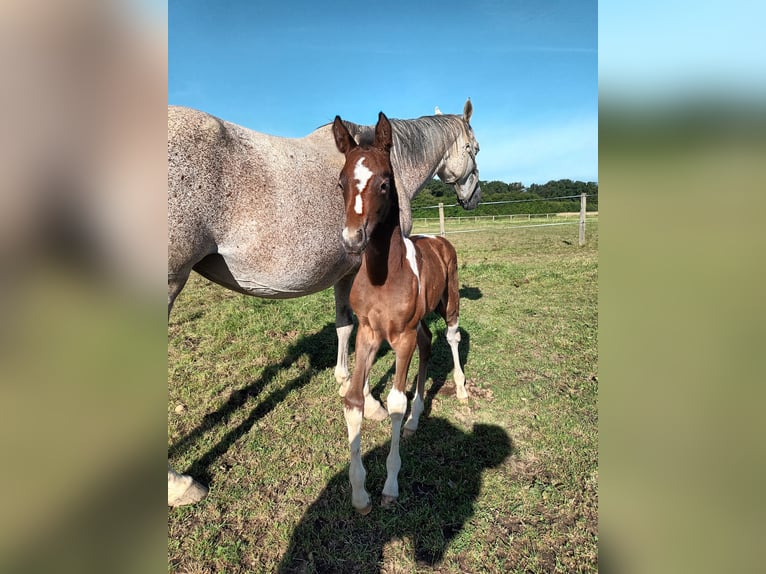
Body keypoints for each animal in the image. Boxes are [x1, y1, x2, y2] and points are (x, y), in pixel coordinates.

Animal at [170, 101, 480, 506]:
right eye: (475, 149)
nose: (473, 197)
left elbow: (345, 326)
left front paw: (347, 383)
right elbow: (357, 333)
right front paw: (370, 400)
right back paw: (179, 484)